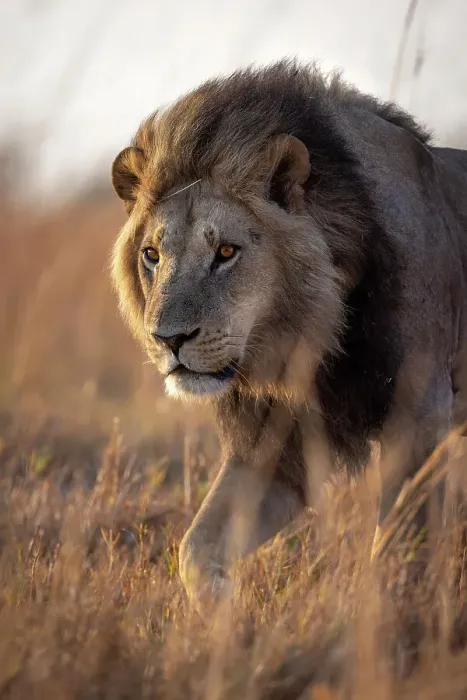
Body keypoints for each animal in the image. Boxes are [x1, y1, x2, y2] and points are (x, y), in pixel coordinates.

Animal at [110, 60, 467, 605]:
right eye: (152, 254)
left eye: (226, 252)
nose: (168, 340)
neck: (314, 333)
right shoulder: (273, 448)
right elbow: (195, 548)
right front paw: (225, 611)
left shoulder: (421, 419)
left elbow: (399, 550)